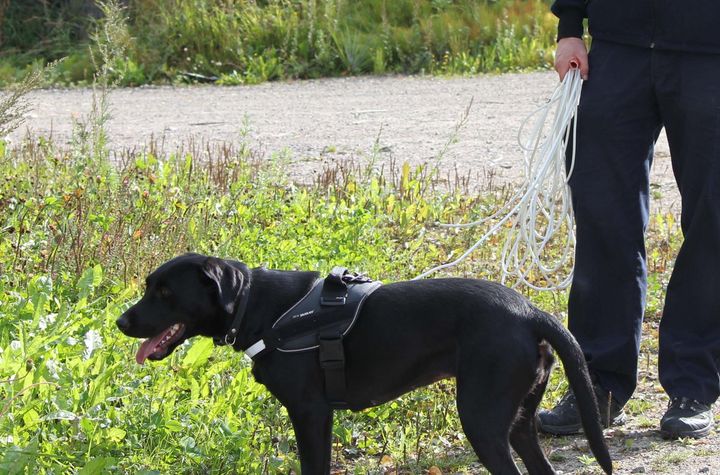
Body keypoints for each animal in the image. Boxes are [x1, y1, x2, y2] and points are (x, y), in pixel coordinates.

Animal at [115, 256, 612, 475]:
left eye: (165, 293)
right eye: (149, 286)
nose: (120, 322)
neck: (260, 308)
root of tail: (530, 312)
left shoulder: (310, 413)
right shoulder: (321, 417)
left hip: (482, 421)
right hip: (520, 422)